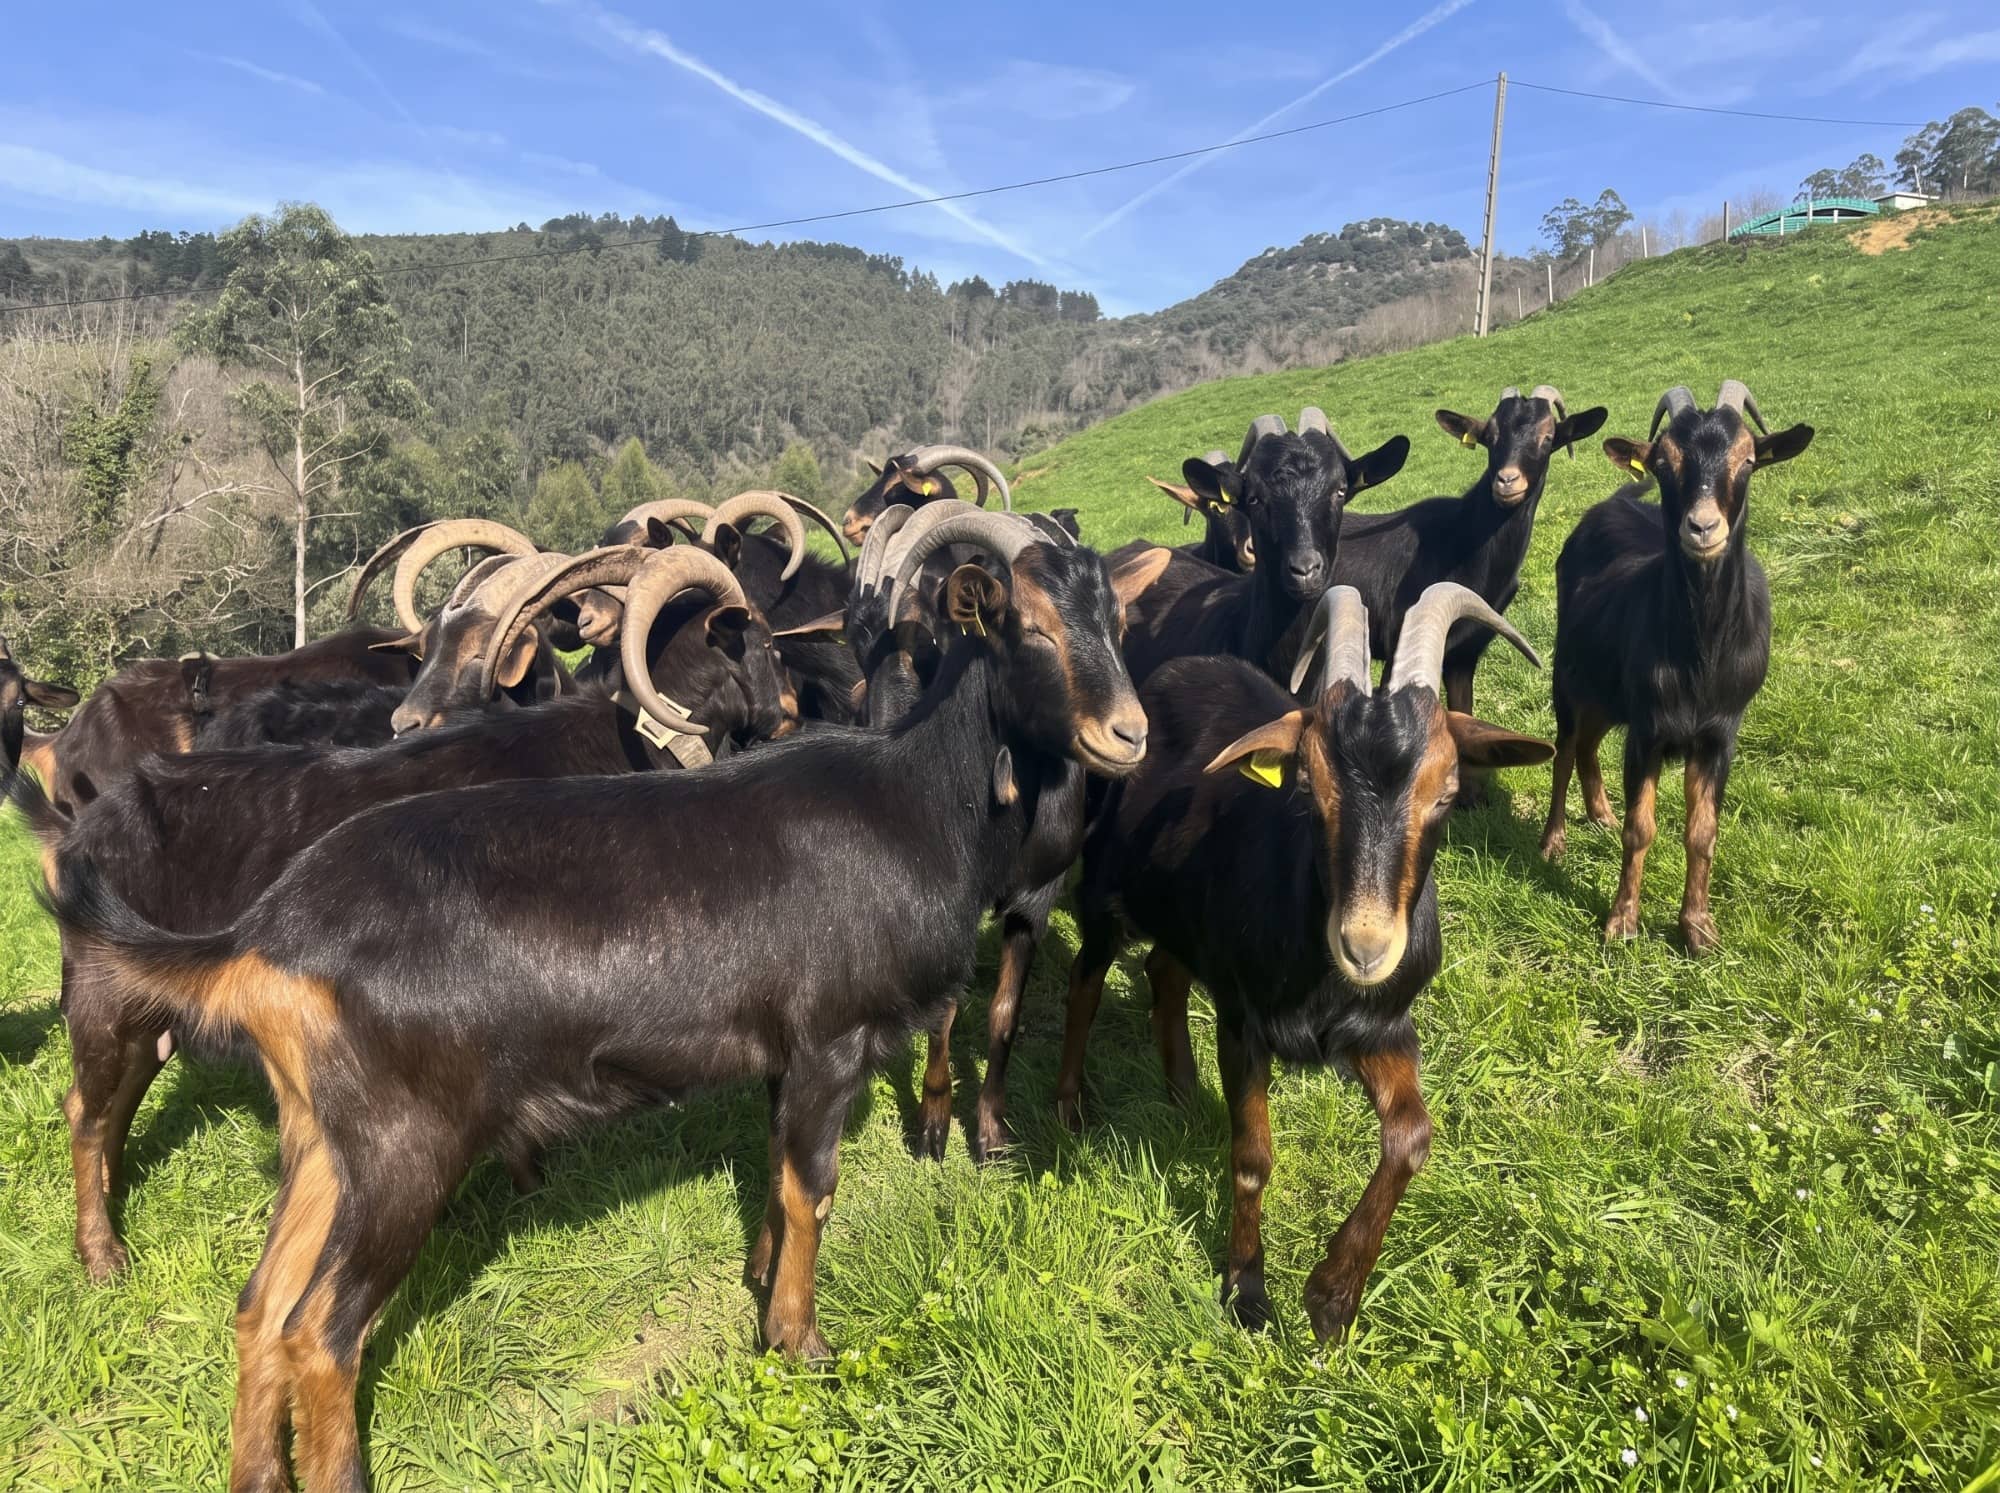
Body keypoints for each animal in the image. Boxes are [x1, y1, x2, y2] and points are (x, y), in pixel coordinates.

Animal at [46, 509, 1150, 1491]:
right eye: (1027, 625)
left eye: (1116, 617)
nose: (1128, 733)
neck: (913, 798)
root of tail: (272, 933)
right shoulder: (831, 1039)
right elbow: (814, 1189)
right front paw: (800, 1341)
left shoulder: (782, 1053)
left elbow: (772, 1174)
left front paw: (760, 1287)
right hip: (403, 1143)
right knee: (320, 1325)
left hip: (325, 1138)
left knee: (260, 1305)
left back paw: (257, 1470)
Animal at [1054, 583, 1552, 1339]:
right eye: (1308, 787)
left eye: (1445, 792)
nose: (1366, 946)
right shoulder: (1244, 1020)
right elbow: (1252, 1156)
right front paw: (1247, 1290)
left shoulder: (1382, 1026)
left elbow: (1412, 1136)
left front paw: (1333, 1296)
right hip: (1109, 891)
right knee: (1085, 981)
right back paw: (1068, 1104)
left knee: (1164, 971)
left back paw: (1183, 1093)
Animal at [1335, 385, 1606, 804]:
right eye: (1489, 437)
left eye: (1548, 439)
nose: (1507, 482)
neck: (1462, 543)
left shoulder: (1465, 653)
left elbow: (1465, 709)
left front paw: (1471, 794)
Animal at [1538, 381, 1813, 952]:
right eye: (1664, 463)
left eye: (1748, 460)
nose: (1702, 527)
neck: (1700, 656)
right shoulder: (1649, 729)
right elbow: (1641, 829)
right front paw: (1621, 922)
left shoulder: (1718, 735)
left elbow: (1702, 832)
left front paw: (1698, 928)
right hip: (1570, 676)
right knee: (1566, 749)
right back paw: (1555, 841)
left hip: (1608, 689)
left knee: (1590, 745)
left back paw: (1600, 813)